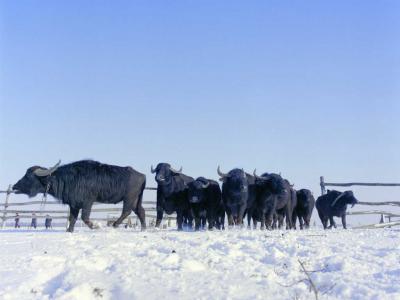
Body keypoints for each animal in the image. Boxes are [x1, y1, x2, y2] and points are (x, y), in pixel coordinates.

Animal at [12, 159, 147, 232]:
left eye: (28, 176)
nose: (14, 186)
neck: (68, 178)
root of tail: (142, 175)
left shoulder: (87, 202)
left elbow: (84, 217)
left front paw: (95, 226)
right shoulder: (74, 205)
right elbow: (72, 218)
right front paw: (69, 230)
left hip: (129, 198)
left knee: (126, 211)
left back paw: (115, 224)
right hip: (135, 200)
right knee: (141, 211)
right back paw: (143, 229)